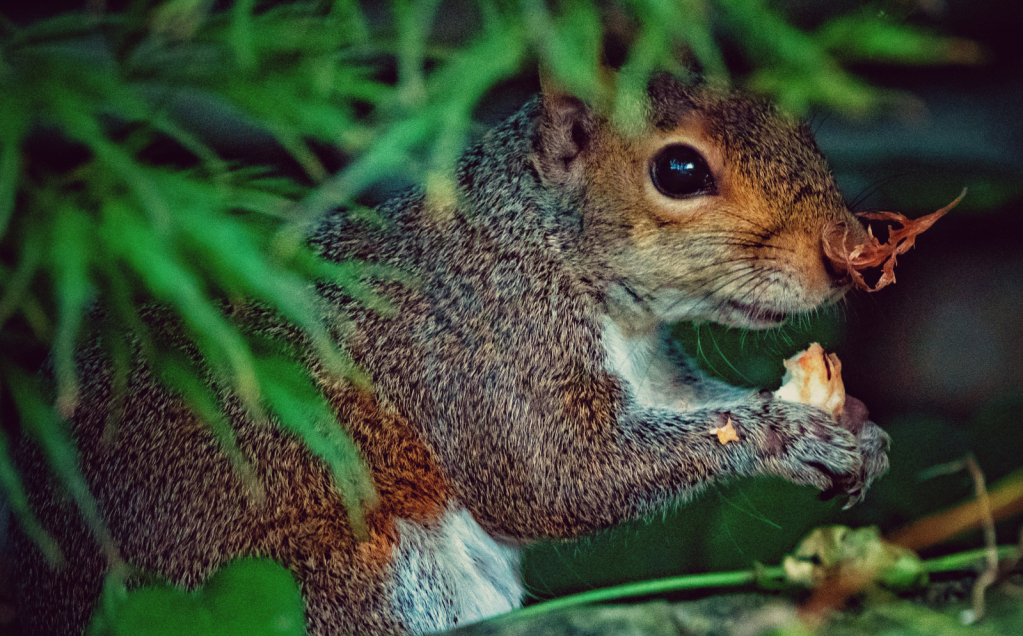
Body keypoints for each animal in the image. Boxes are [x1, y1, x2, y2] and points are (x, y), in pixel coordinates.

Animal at [12, 72, 887, 633]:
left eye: (802, 124)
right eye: (678, 169)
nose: (846, 252)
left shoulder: (651, 370)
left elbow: (689, 412)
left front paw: (856, 432)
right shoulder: (487, 351)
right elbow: (554, 476)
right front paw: (787, 433)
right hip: (340, 583)